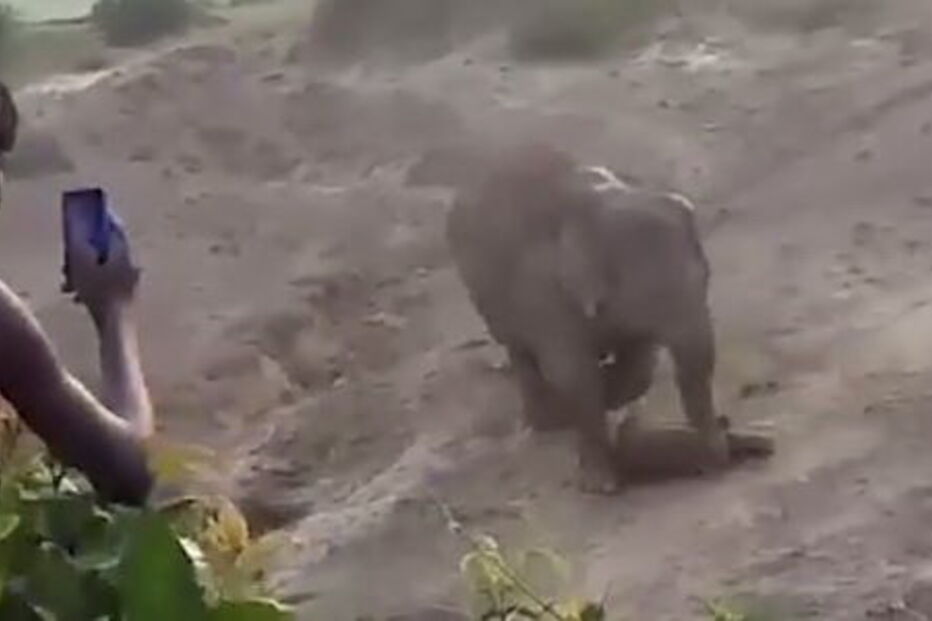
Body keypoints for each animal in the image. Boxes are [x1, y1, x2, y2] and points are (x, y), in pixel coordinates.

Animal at [446, 142, 728, 493]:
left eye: (706, 279)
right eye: (657, 296)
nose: (719, 458)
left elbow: (638, 366)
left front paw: (610, 397)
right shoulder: (545, 295)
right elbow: (573, 374)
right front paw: (600, 483)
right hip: (486, 295)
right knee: (519, 350)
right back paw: (548, 421)